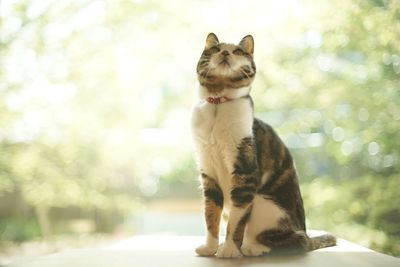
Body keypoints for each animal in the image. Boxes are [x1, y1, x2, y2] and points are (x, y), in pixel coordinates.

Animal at [192, 32, 336, 258]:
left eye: (238, 51)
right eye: (215, 49)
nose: (225, 53)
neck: (218, 106)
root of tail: (307, 232)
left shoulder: (245, 173)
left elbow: (237, 221)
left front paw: (230, 250)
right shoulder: (208, 173)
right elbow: (211, 215)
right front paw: (210, 247)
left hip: (263, 203)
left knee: (296, 241)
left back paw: (251, 247)